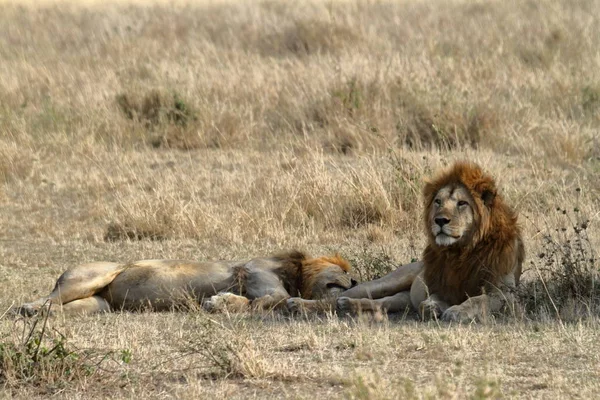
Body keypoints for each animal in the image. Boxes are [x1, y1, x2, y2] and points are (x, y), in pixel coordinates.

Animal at [290, 162, 524, 322]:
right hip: (384, 282)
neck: (462, 250)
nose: (440, 220)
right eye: (438, 202)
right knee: (335, 299)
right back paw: (299, 304)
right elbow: (435, 299)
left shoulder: (505, 294)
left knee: (381, 303)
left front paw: (457, 310)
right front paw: (434, 307)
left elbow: (478, 299)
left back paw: (347, 306)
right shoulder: (440, 285)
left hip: (400, 299)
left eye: (462, 203)